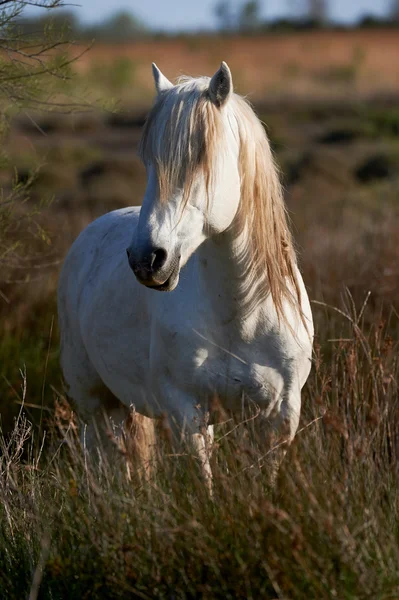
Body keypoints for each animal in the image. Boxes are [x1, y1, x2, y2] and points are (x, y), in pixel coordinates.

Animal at [57, 61, 314, 482]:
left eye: (200, 157)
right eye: (147, 161)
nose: (146, 259)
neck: (241, 313)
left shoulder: (279, 415)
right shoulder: (184, 411)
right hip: (94, 403)